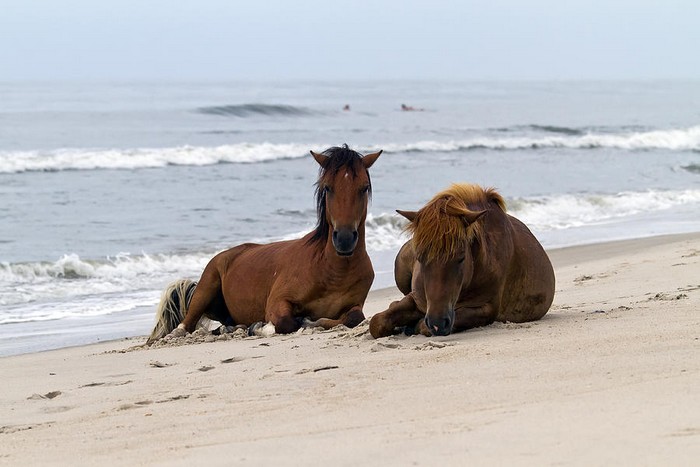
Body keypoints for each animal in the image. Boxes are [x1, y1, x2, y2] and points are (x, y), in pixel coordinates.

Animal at [147, 145, 381, 344]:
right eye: (328, 188)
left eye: (364, 188)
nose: (344, 239)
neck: (331, 271)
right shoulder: (277, 302)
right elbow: (286, 323)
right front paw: (261, 327)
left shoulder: (355, 305)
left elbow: (353, 318)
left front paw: (308, 321)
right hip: (206, 287)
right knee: (184, 326)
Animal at [369, 183, 555, 338]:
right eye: (419, 257)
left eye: (461, 258)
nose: (437, 323)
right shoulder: (416, 298)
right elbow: (377, 323)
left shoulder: (486, 309)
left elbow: (423, 325)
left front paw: (412, 325)